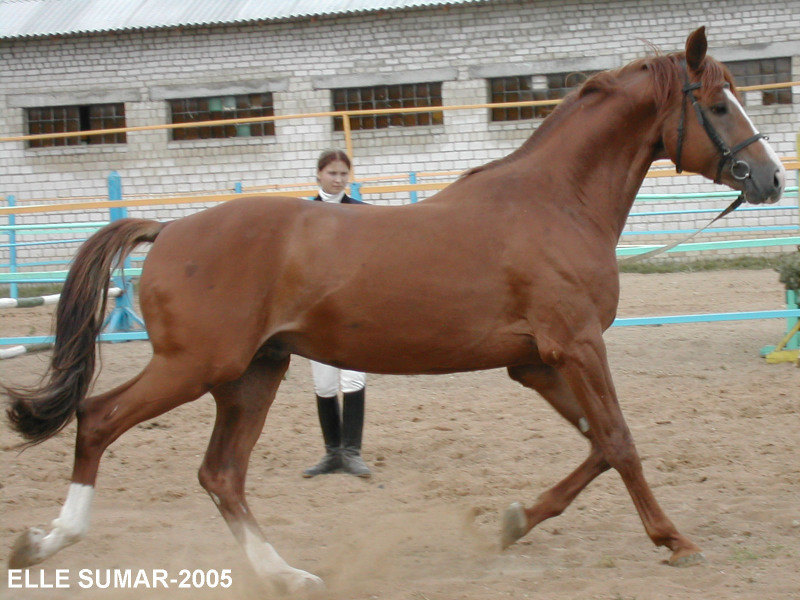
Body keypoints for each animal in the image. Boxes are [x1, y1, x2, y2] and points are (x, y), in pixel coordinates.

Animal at [3, 27, 784, 596]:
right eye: (718, 105)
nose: (771, 179)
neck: (554, 202)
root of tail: (168, 231)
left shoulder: (536, 363)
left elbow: (596, 443)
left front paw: (508, 524)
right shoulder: (577, 346)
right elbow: (618, 441)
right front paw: (676, 542)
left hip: (252, 373)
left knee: (220, 474)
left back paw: (287, 573)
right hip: (195, 366)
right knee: (98, 419)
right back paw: (42, 541)